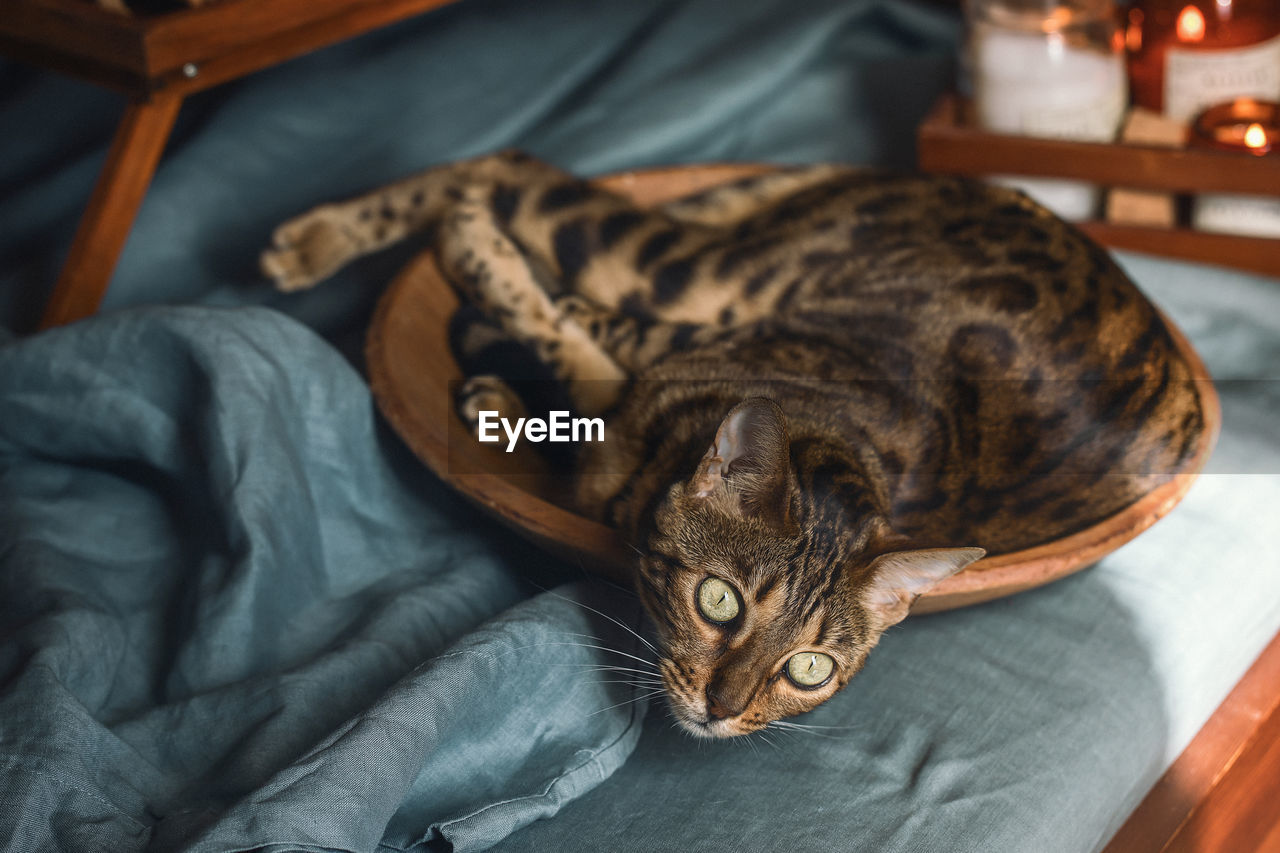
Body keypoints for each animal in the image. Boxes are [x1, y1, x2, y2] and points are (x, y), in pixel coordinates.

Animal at [264, 149, 1203, 732]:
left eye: (809, 669)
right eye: (718, 601)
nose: (722, 709)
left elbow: (561, 351)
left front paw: (502, 379)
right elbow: (557, 324)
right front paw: (485, 289)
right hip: (692, 273)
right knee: (508, 172)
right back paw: (340, 238)